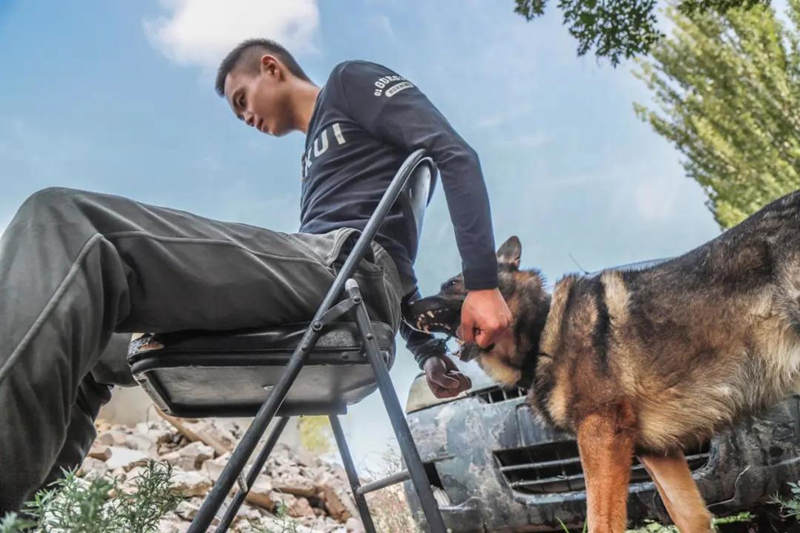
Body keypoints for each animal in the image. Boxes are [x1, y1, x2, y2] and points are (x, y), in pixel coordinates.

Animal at [410, 189, 800, 528]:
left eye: (451, 284)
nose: (406, 304)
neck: (541, 330)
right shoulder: (659, 453)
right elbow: (690, 516)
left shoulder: (601, 434)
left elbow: (601, 521)